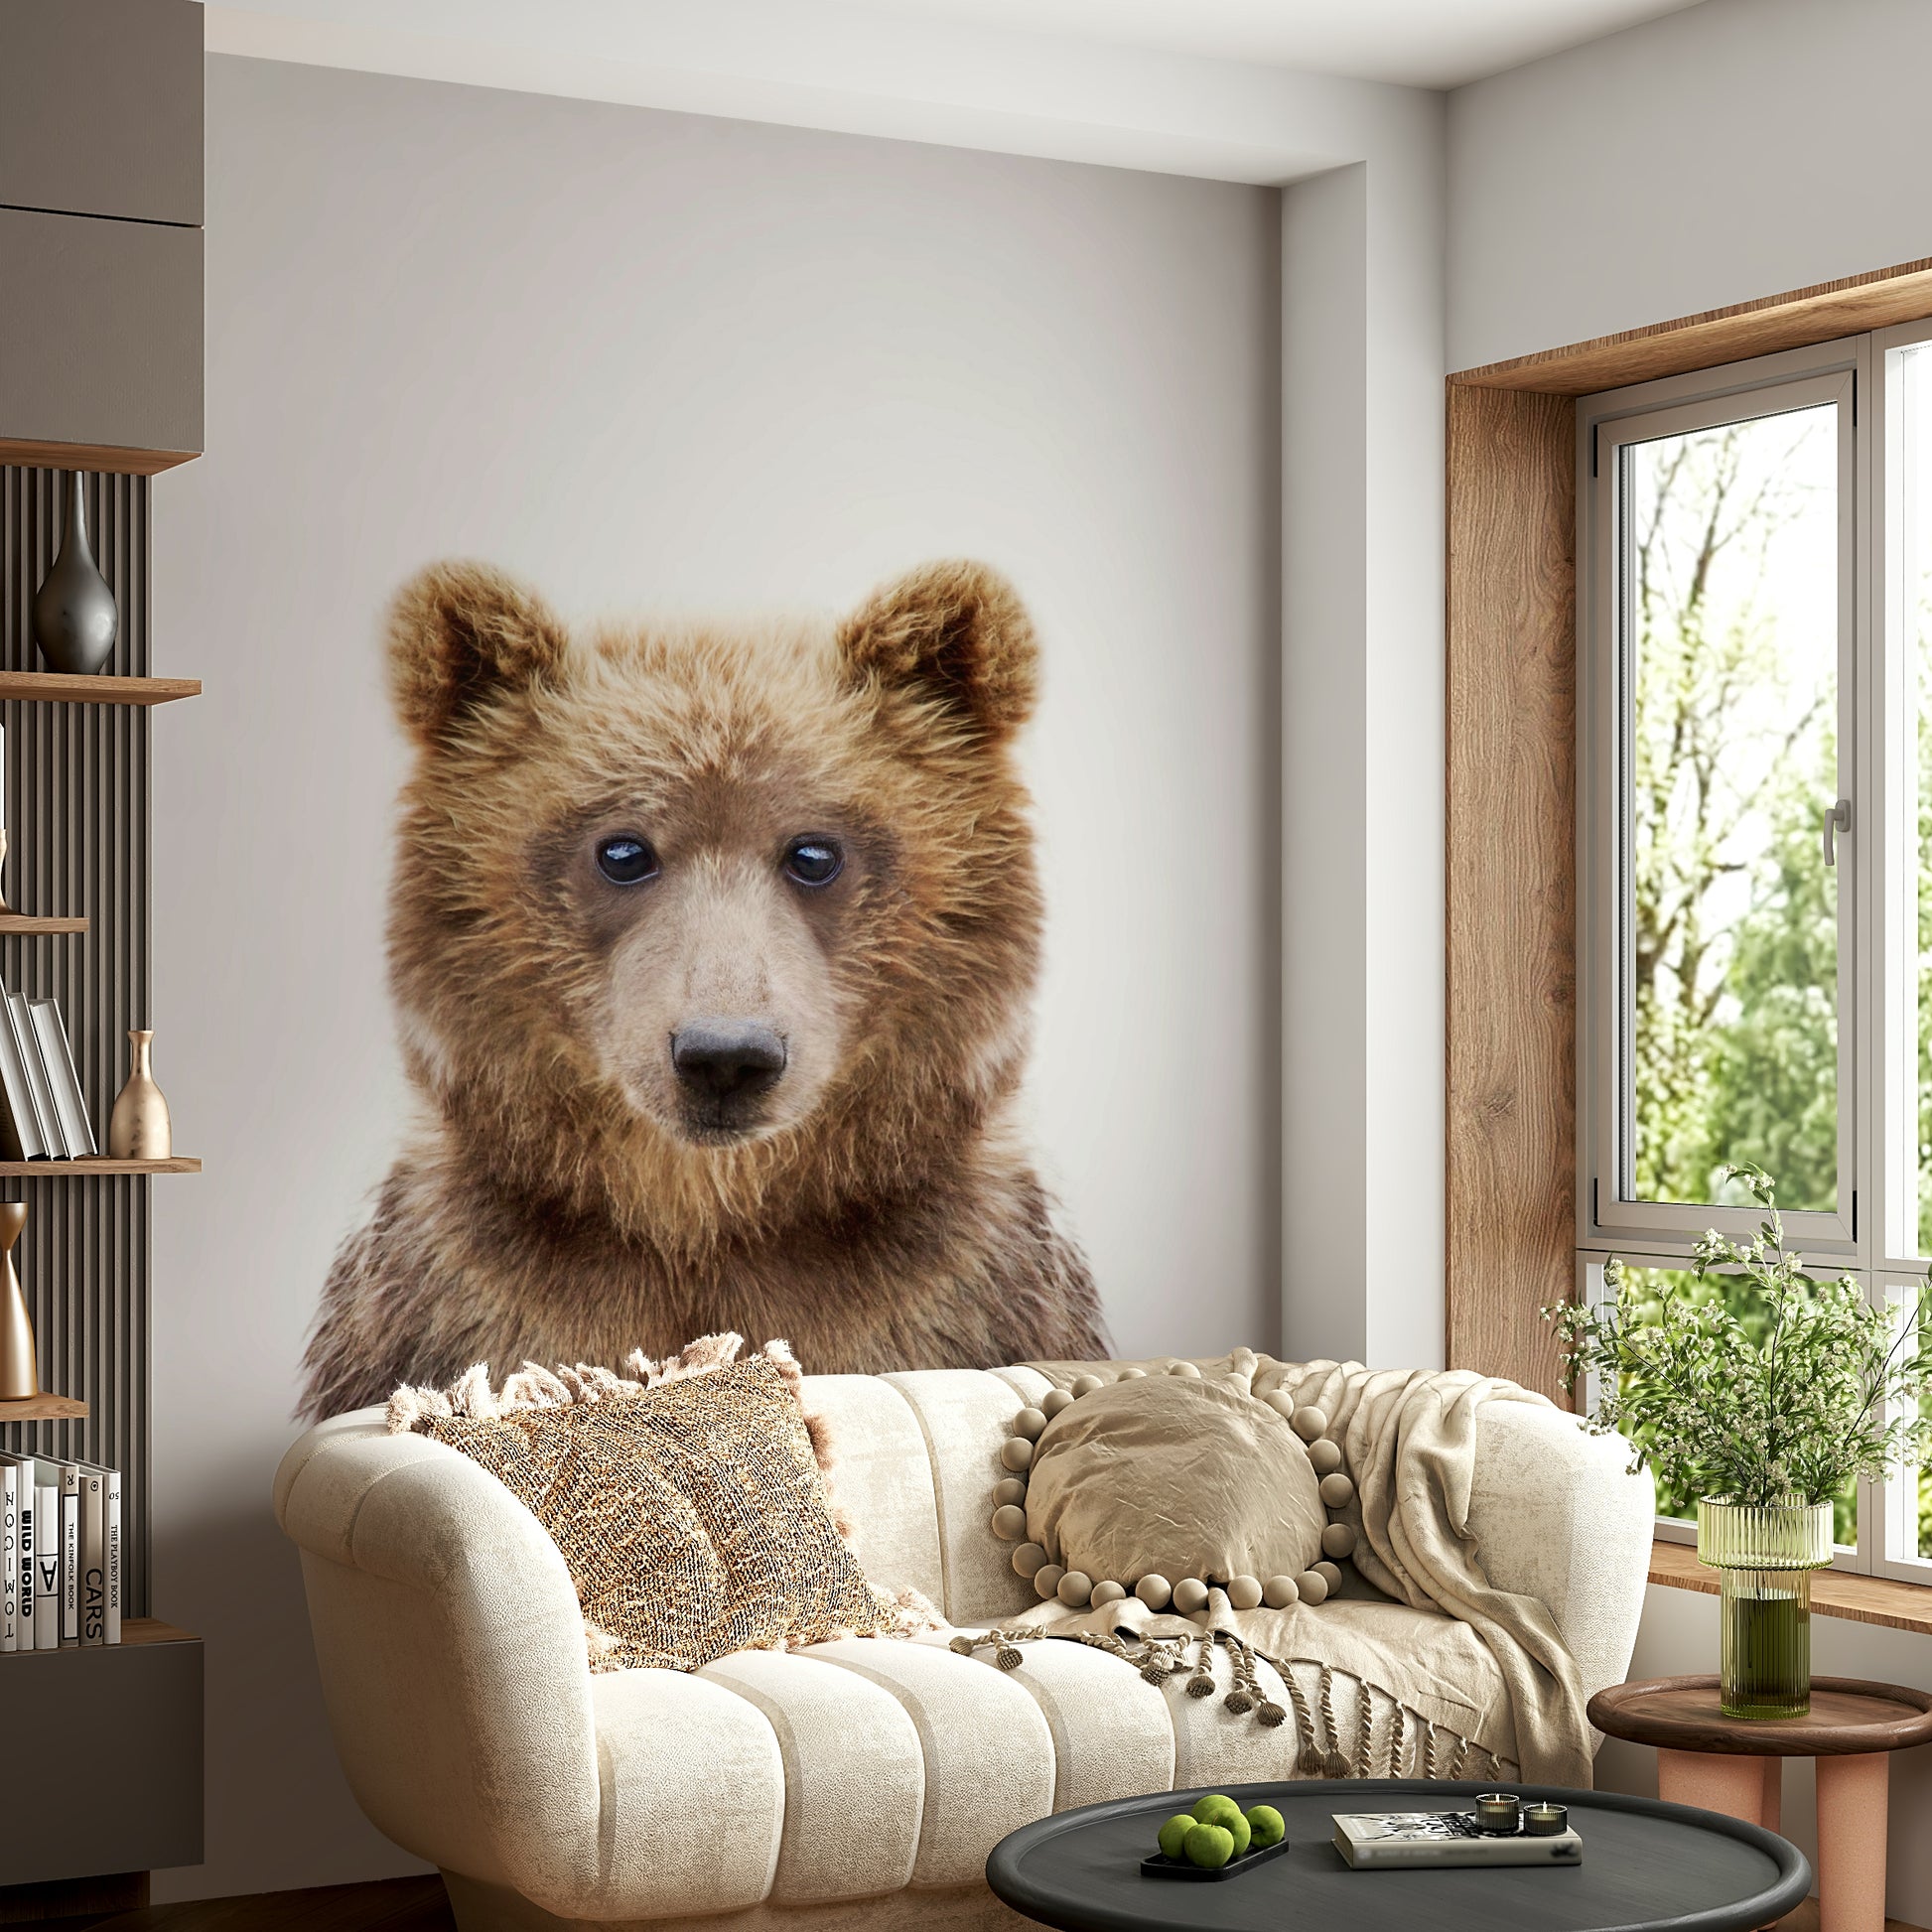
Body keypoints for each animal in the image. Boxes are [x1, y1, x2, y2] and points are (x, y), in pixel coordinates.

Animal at [297, 557, 1108, 1420]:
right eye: (622, 850)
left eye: (814, 852)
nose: (725, 1056)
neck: (706, 1221)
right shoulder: (449, 1296)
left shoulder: (969, 1290)